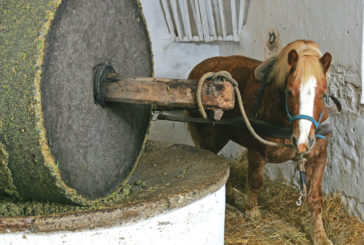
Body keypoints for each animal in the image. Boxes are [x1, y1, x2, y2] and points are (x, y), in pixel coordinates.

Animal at [188, 40, 332, 245]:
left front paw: (320, 235)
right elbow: (255, 180)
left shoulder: (319, 158)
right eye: (289, 91)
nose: (303, 141)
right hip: (209, 134)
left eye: (323, 94)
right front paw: (252, 211)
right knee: (213, 158)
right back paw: (229, 194)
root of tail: (197, 69)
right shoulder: (257, 151)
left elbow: (314, 197)